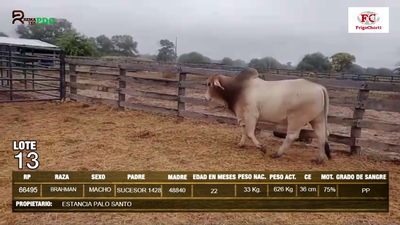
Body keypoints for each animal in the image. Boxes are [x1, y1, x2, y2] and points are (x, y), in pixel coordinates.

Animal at [203, 67, 332, 164]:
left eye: (209, 84)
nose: (206, 97)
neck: (238, 88)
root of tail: (319, 87)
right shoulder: (242, 116)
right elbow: (244, 130)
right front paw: (241, 144)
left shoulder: (251, 115)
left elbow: (250, 133)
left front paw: (262, 147)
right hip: (317, 119)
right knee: (322, 136)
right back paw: (319, 159)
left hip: (296, 120)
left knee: (291, 136)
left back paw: (277, 154)